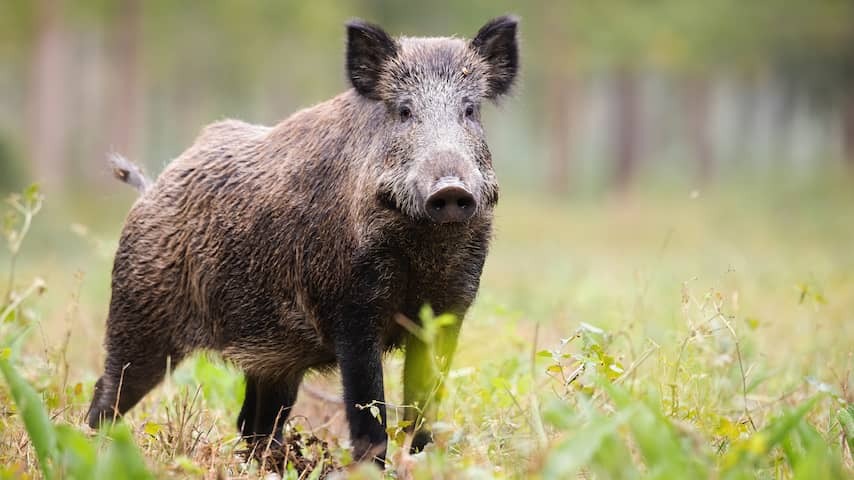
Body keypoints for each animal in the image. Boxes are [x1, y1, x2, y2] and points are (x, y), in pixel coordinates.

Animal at [87, 16, 519, 464]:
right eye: (404, 110)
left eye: (470, 110)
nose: (450, 189)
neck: (424, 250)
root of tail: (150, 189)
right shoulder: (351, 311)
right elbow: (368, 409)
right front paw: (371, 466)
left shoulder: (449, 312)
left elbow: (423, 403)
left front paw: (422, 460)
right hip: (137, 318)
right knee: (106, 395)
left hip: (273, 358)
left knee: (252, 422)